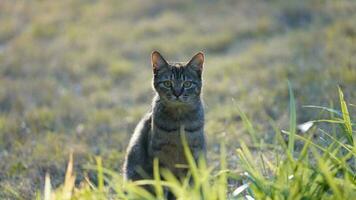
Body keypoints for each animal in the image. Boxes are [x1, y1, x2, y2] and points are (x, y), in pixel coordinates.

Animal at [123, 50, 206, 198]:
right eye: (167, 83)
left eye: (187, 84)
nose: (177, 93)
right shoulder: (159, 158)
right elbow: (164, 185)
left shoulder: (194, 155)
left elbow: (188, 184)